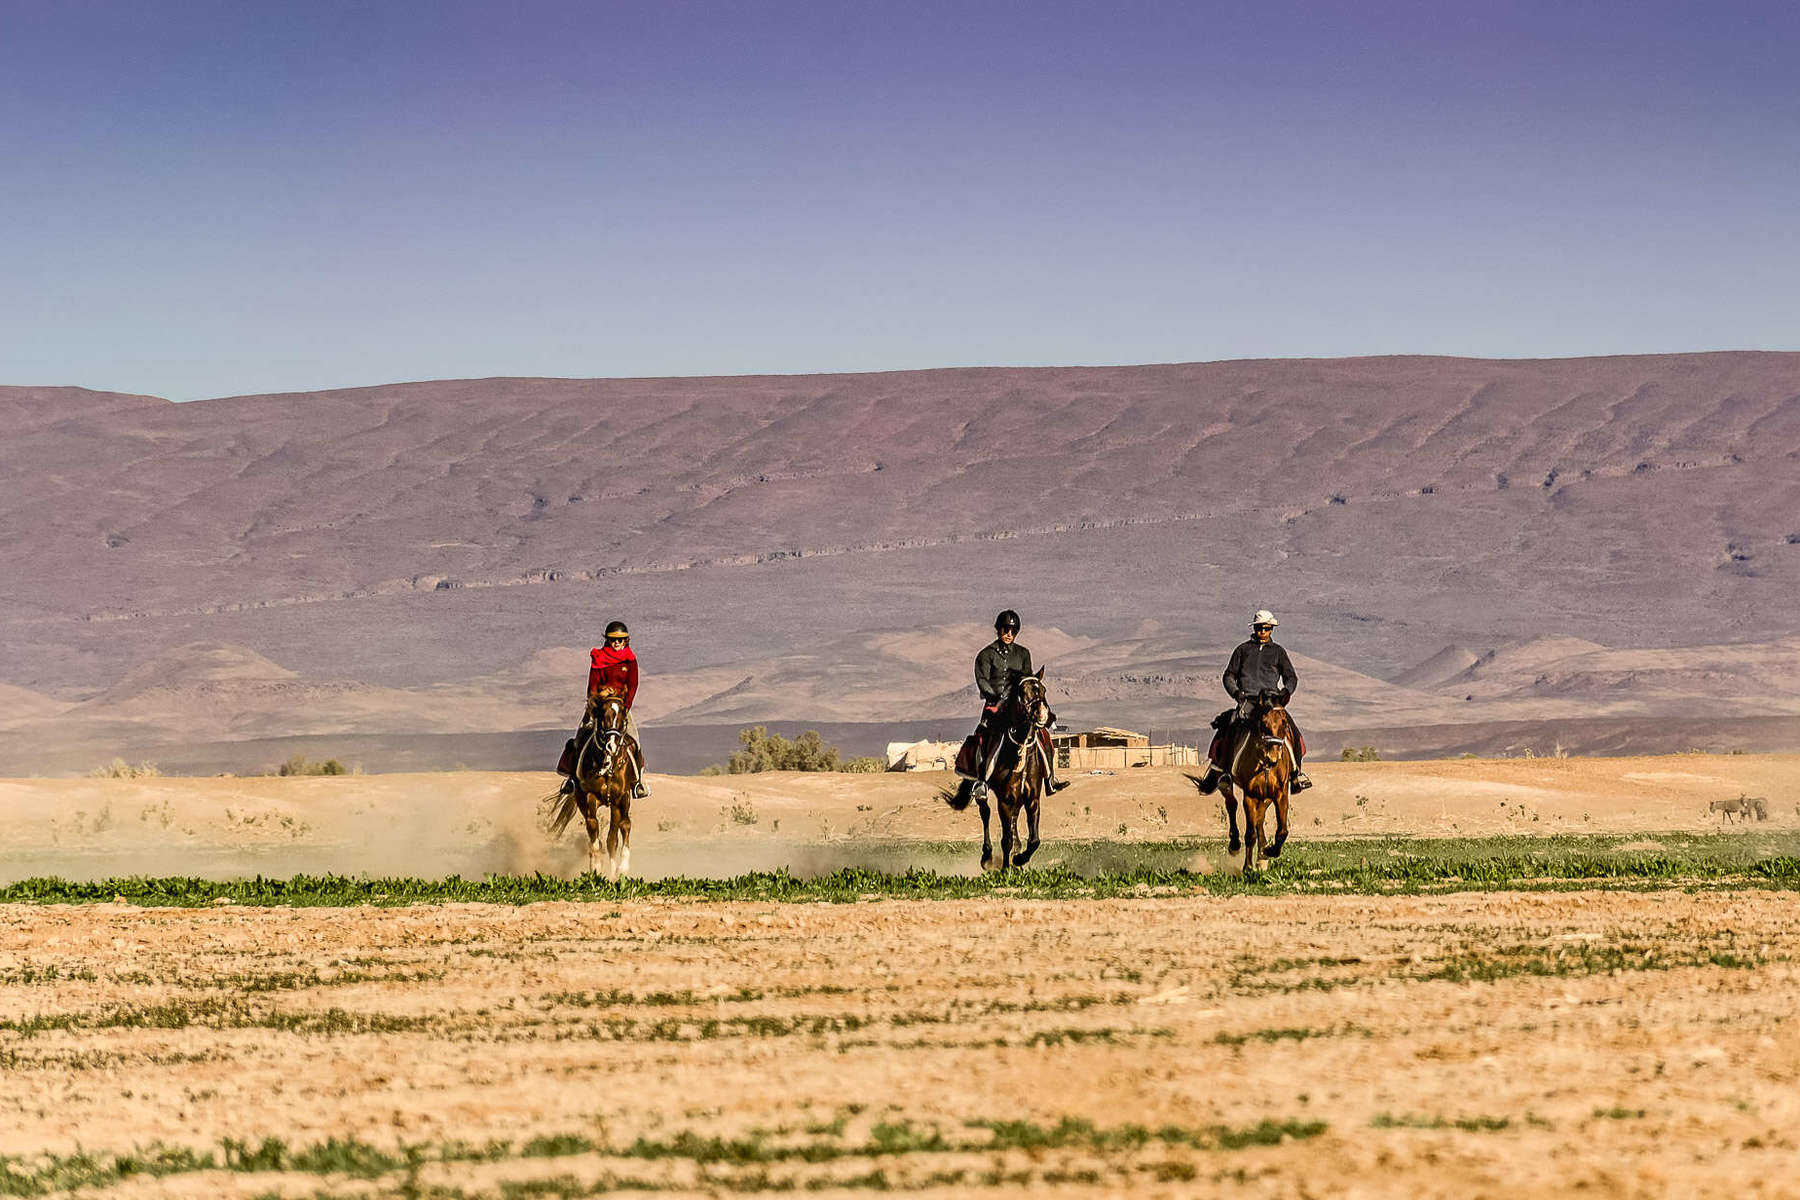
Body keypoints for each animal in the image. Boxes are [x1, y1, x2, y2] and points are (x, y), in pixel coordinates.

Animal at [540, 690, 640, 877]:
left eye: (622, 716)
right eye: (603, 716)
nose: (611, 746)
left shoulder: (622, 797)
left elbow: (624, 826)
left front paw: (622, 869)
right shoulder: (589, 797)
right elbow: (594, 831)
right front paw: (596, 869)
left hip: (613, 806)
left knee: (611, 839)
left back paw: (613, 875)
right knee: (595, 834)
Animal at [943, 665, 1051, 874]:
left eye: (1043, 690)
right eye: (1022, 692)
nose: (1042, 715)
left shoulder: (1032, 798)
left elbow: (1034, 840)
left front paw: (1019, 859)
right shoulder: (1005, 800)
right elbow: (1005, 839)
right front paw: (1006, 868)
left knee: (1014, 821)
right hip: (983, 793)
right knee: (985, 815)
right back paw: (987, 857)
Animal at [1216, 694, 1303, 874]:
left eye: (1285, 723)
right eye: (1263, 723)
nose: (1273, 756)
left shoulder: (1280, 795)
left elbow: (1282, 831)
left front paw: (1269, 851)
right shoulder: (1250, 796)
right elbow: (1250, 833)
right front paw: (1248, 867)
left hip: (1267, 796)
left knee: (1259, 817)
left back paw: (1262, 856)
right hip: (1230, 785)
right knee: (1231, 803)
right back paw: (1235, 845)